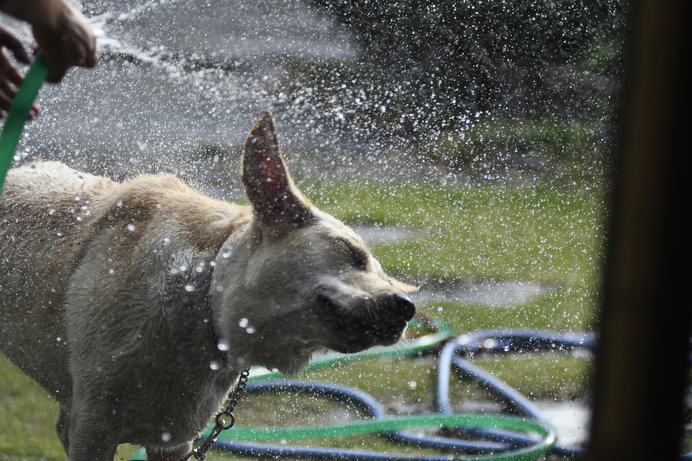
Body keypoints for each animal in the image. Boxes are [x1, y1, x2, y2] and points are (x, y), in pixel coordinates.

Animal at [0, 111, 416, 460]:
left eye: (383, 273)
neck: (202, 297)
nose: (408, 307)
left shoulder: (173, 439)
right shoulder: (95, 430)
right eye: (352, 254)